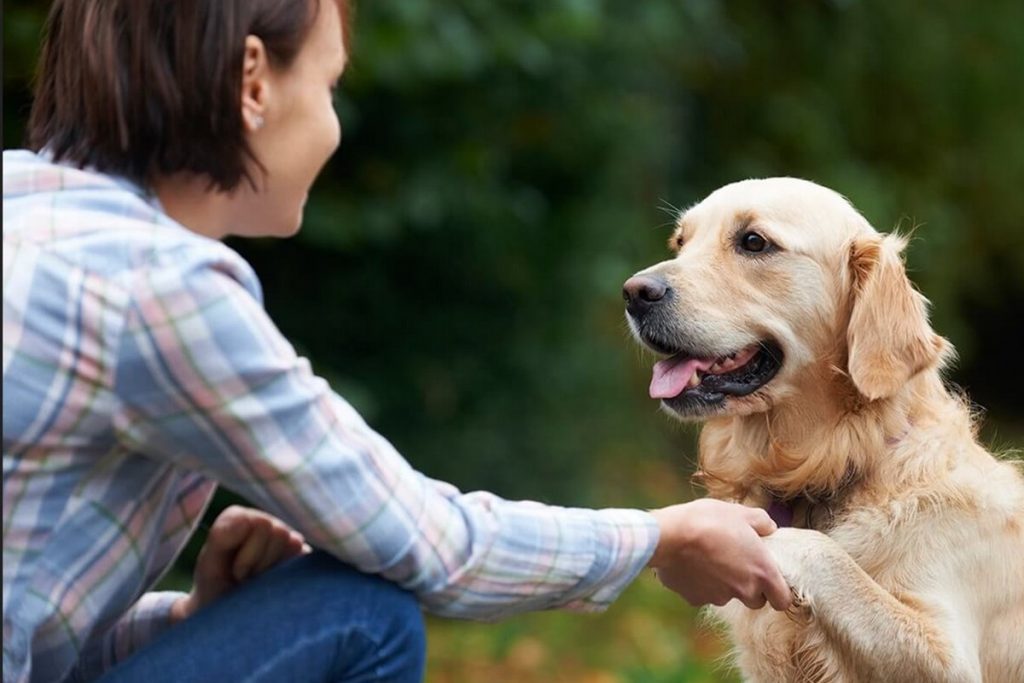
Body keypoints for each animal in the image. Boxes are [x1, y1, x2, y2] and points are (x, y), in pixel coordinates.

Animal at [622, 179, 1024, 683]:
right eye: (680, 242)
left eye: (753, 242)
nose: (634, 292)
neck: (839, 464)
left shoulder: (951, 656)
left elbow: (824, 553)